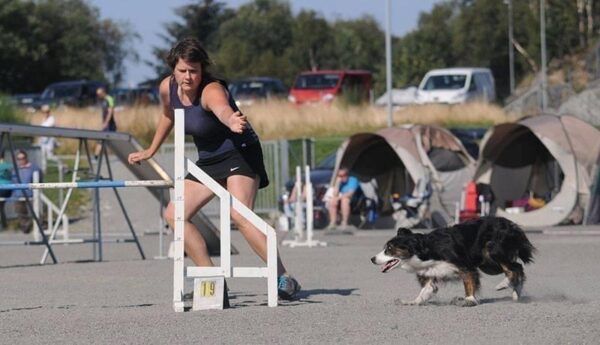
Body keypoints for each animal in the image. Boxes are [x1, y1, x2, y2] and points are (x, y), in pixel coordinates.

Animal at [370, 216, 536, 306]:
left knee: (514, 267)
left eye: (389, 249)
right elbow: (426, 290)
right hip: (487, 264)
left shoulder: (464, 265)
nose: (372, 259)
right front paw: (412, 302)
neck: (424, 251)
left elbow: (469, 282)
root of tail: (511, 224)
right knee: (517, 267)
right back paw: (515, 293)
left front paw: (469, 300)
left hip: (492, 250)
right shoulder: (430, 272)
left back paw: (505, 284)